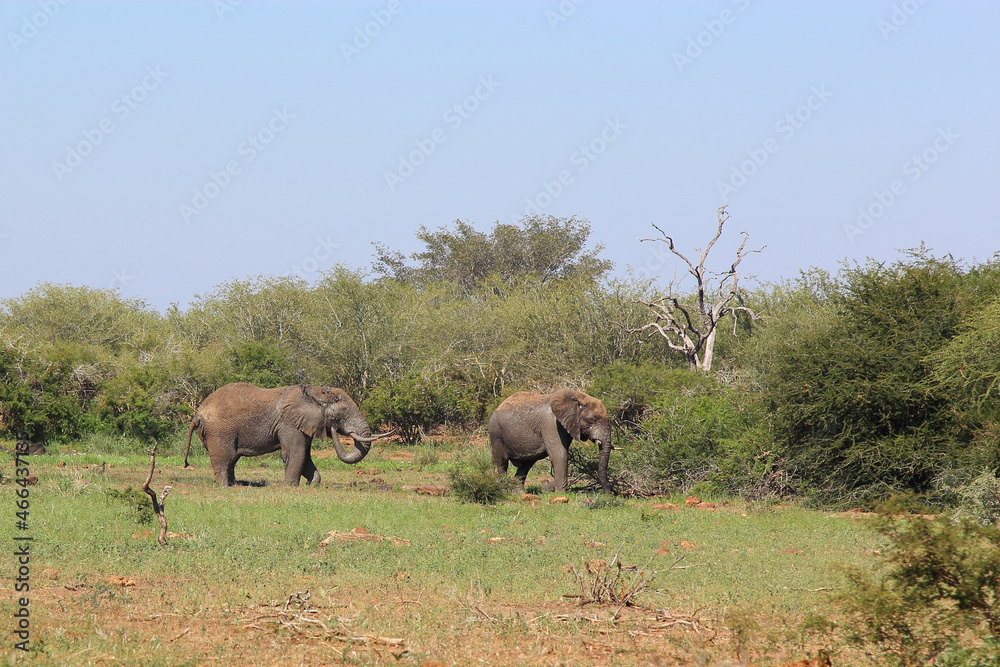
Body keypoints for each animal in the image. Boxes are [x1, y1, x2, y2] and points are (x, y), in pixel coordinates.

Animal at [183, 382, 392, 486]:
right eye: (343, 413)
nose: (333, 428)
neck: (314, 392)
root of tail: (198, 414)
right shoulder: (289, 424)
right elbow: (295, 453)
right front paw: (290, 486)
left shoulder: (303, 424)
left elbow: (305, 455)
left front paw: (313, 483)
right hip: (219, 431)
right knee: (224, 458)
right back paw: (225, 486)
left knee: (232, 459)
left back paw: (235, 484)